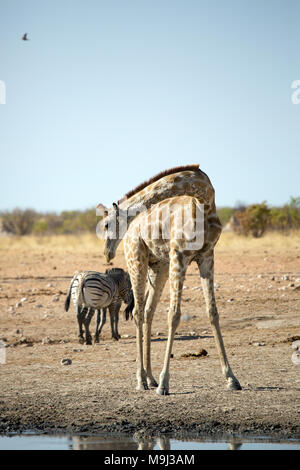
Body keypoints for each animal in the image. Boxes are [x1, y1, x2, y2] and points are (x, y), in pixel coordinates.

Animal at [101, 165, 241, 392]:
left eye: (106, 224)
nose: (107, 254)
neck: (203, 200)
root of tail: (132, 230)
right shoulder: (179, 255)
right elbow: (174, 315)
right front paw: (165, 383)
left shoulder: (207, 257)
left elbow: (212, 313)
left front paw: (231, 378)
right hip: (136, 261)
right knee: (138, 312)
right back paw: (141, 380)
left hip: (160, 268)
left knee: (148, 311)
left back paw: (150, 378)